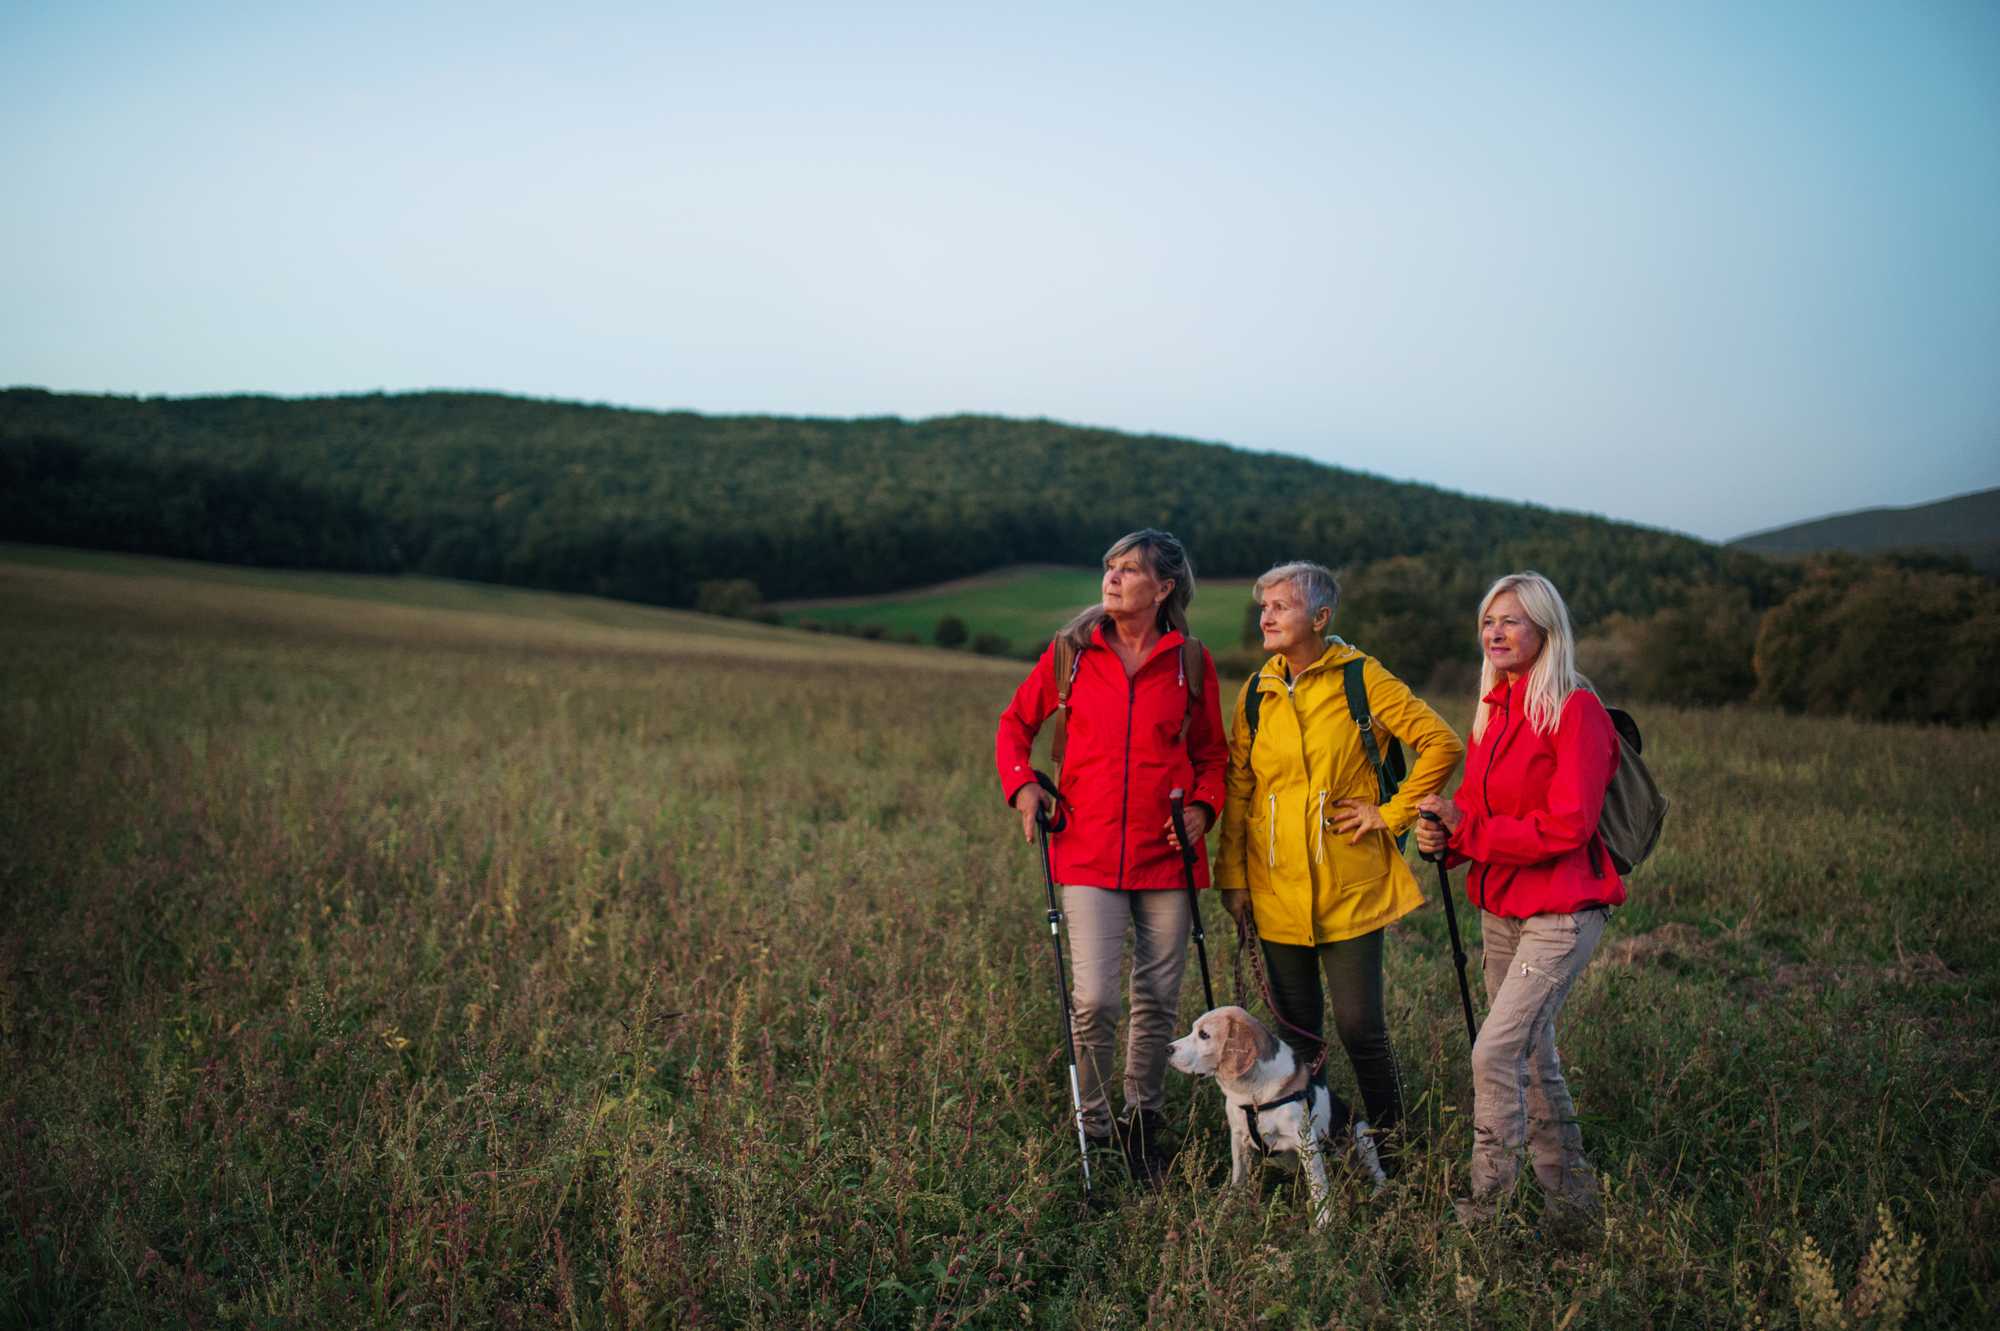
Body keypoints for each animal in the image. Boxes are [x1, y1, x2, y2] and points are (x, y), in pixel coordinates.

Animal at [1168, 999, 1384, 1215]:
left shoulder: (1306, 1142)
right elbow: (1237, 1180)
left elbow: (1319, 1187)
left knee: (1380, 1173)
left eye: (1204, 1035)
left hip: (1362, 1134)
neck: (1253, 1094)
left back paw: (1377, 1193)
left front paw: (1323, 1219)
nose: (1168, 1049)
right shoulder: (1238, 1138)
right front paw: (1226, 1209)